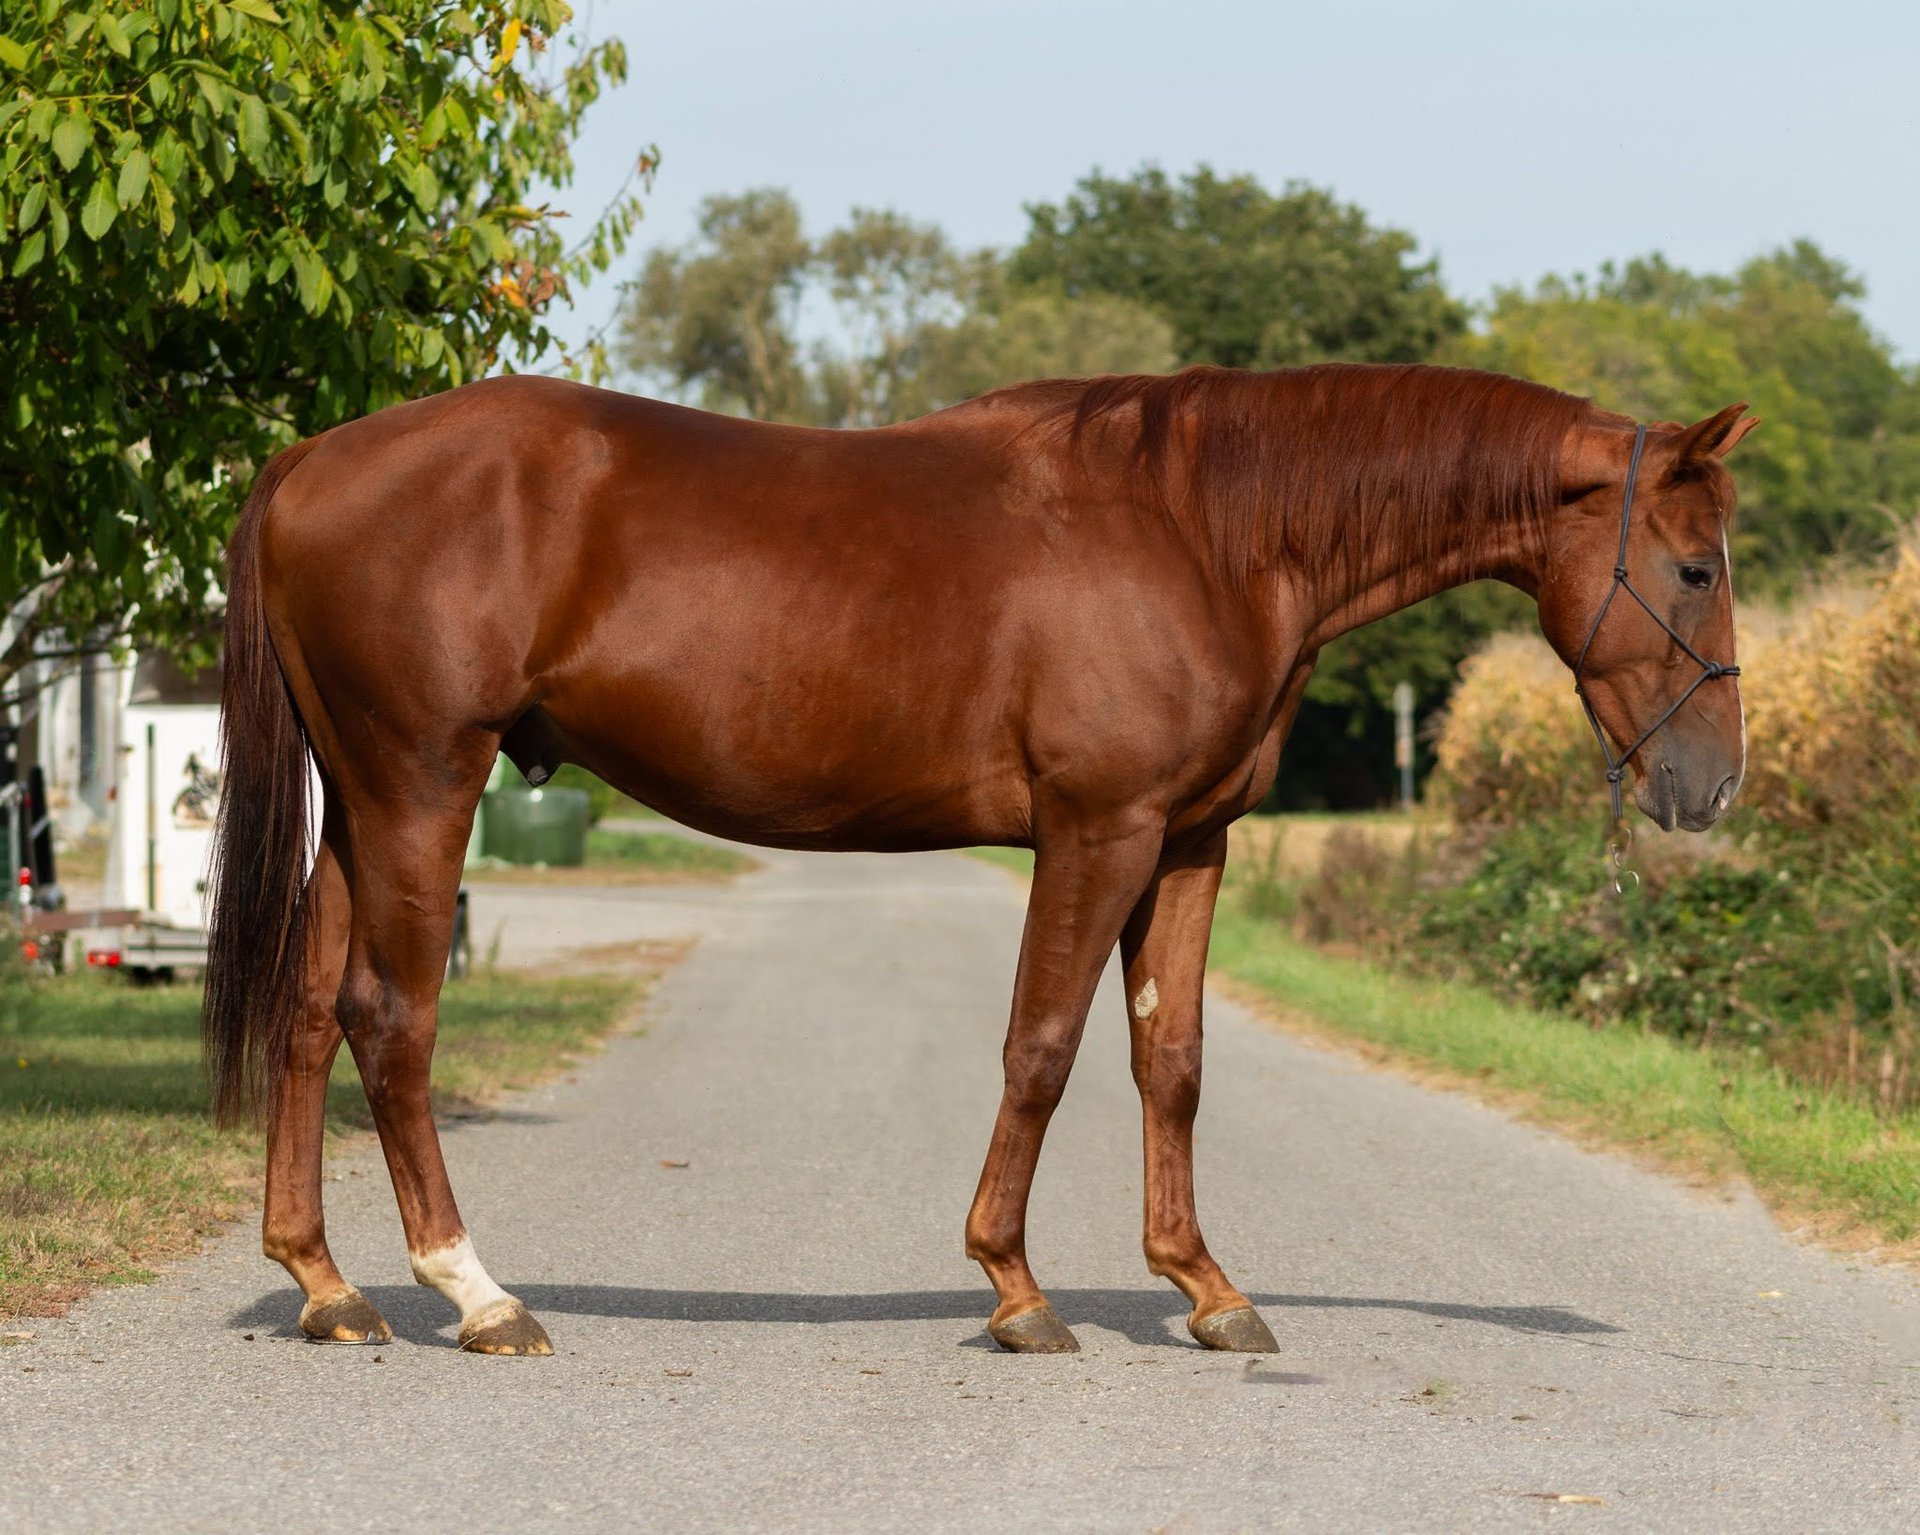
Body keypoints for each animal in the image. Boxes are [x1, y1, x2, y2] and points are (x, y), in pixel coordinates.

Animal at [206, 368, 1758, 1360]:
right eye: (1695, 567)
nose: (1711, 782)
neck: (1204, 529)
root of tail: (310, 461)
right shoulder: (1098, 827)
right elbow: (1045, 1045)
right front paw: (1017, 1288)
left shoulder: (1191, 838)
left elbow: (1171, 1057)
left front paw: (1205, 1286)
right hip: (422, 781)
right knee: (393, 1022)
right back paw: (477, 1293)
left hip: (360, 804)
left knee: (307, 1014)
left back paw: (326, 1285)